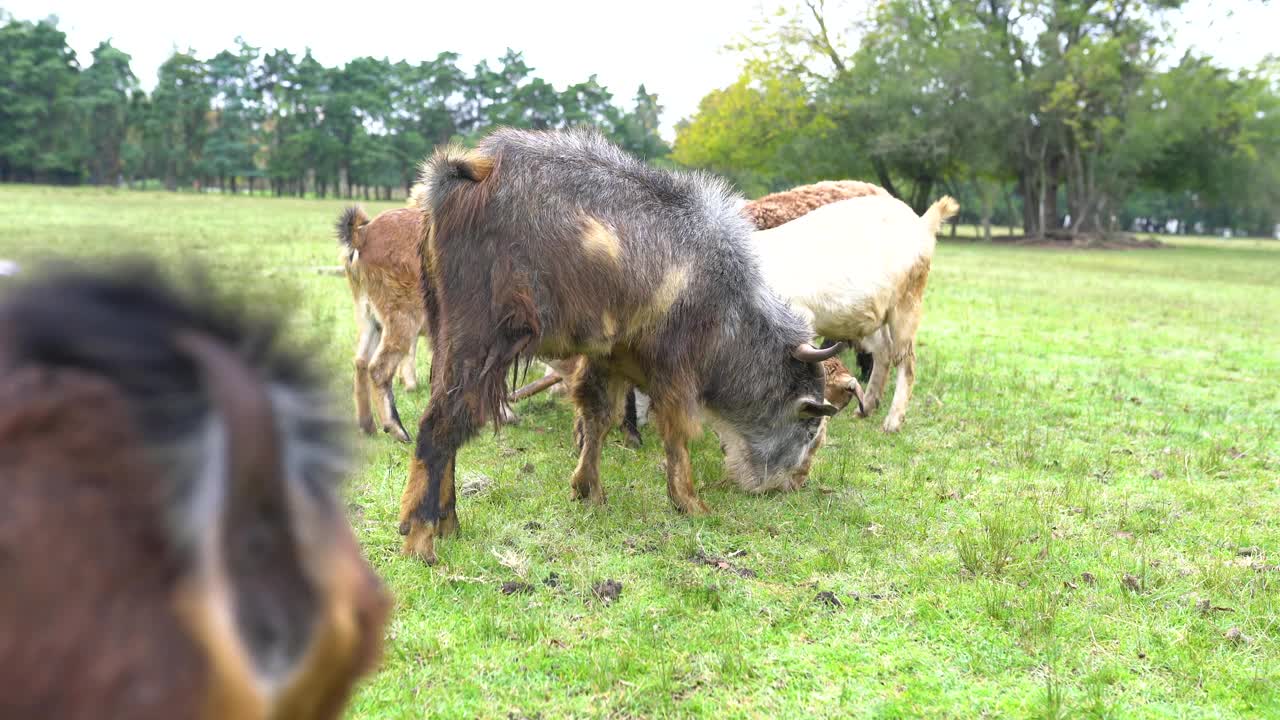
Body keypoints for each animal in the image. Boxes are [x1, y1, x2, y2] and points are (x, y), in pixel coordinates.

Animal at [396, 130, 839, 566]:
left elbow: (598, 417)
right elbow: (676, 431)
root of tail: (470, 171)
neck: (729, 305)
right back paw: (421, 537)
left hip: (445, 335)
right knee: (440, 424)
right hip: (480, 339)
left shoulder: (609, 357)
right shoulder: (675, 368)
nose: (793, 485)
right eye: (810, 426)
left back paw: (448, 522)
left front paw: (588, 490)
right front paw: (689, 502)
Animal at [747, 192, 962, 430]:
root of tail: (922, 223)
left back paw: (892, 421)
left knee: (906, 360)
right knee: (883, 351)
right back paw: (866, 407)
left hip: (907, 303)